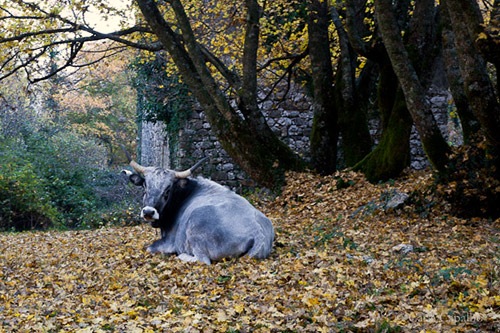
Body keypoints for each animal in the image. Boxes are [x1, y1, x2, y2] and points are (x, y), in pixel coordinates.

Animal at [123, 157, 276, 264]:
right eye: (145, 185)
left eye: (168, 190)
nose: (149, 212)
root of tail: (258, 231)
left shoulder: (169, 242)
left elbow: (149, 248)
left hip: (196, 223)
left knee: (203, 260)